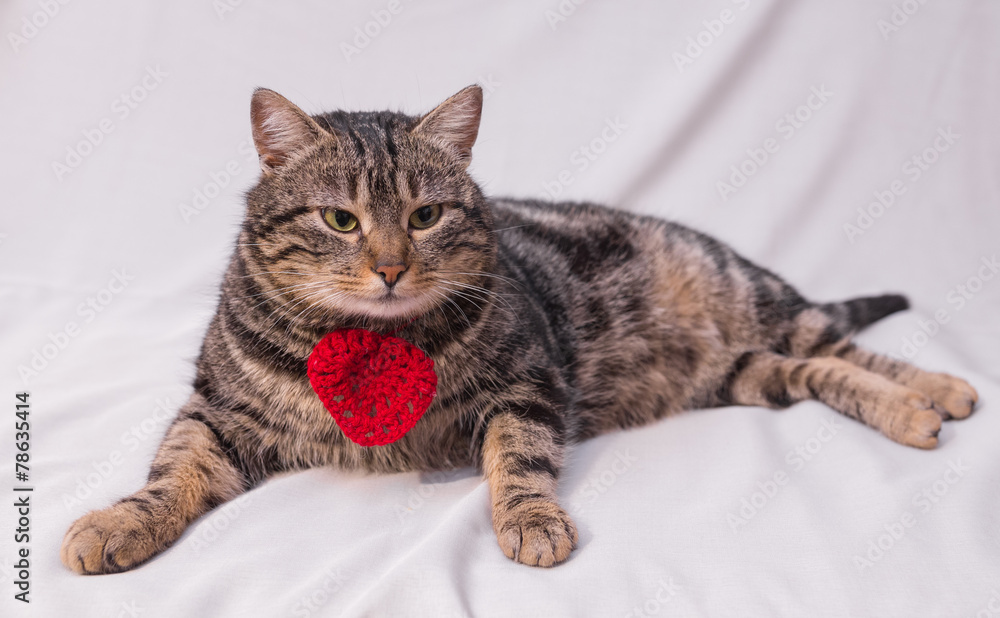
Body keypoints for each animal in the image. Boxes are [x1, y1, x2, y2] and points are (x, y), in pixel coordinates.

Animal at [60, 84, 976, 572]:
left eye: (425, 216)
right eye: (341, 219)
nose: (390, 267)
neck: (369, 344)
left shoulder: (529, 384)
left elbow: (520, 459)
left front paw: (532, 521)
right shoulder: (216, 410)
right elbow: (171, 469)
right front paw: (117, 522)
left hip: (757, 299)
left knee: (843, 343)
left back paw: (939, 391)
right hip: (744, 370)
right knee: (818, 373)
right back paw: (913, 411)